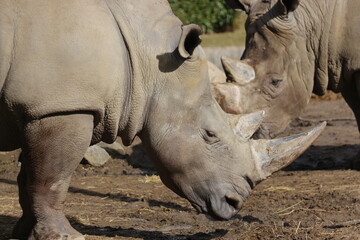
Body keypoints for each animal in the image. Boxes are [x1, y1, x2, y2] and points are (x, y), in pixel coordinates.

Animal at [0, 0, 324, 239]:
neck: (146, 58)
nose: (235, 203)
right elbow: (52, 178)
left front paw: (24, 232)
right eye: (209, 135)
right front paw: (64, 236)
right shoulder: (63, 106)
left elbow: (29, 176)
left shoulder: (42, 108)